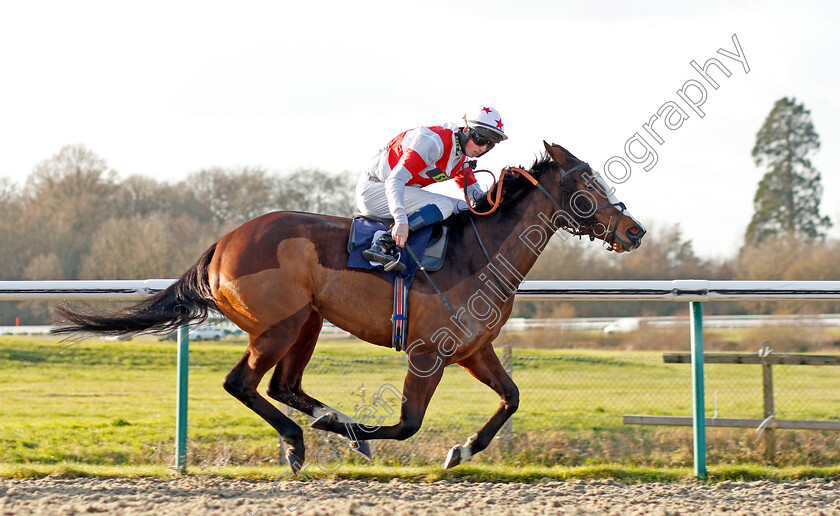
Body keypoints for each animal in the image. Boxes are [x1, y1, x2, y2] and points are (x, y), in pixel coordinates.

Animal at [54, 141, 644, 472]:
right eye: (588, 183)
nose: (634, 230)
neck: (479, 252)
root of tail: (222, 243)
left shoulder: (474, 349)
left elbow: (512, 398)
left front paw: (461, 451)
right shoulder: (428, 353)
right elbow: (406, 425)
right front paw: (365, 439)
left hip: (309, 321)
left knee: (282, 386)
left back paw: (320, 422)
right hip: (279, 324)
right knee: (242, 384)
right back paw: (298, 441)